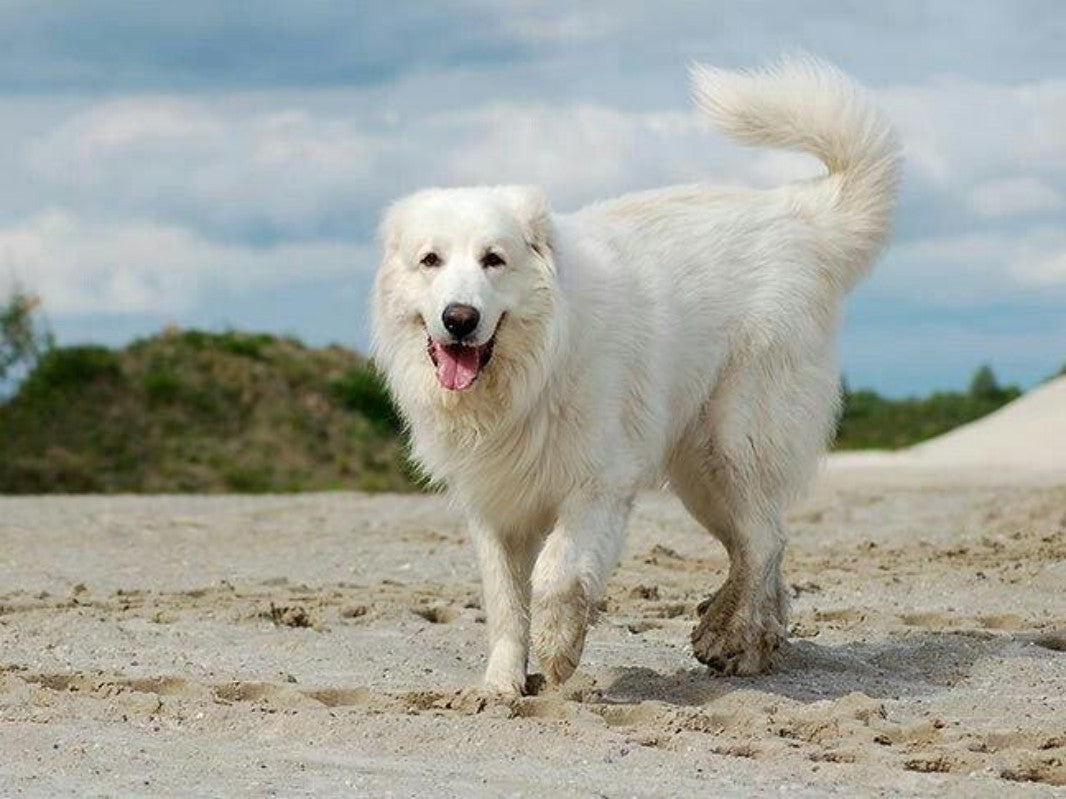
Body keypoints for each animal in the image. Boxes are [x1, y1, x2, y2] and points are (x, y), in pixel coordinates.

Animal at [370, 56, 895, 698]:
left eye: (494, 259)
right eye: (431, 260)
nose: (459, 319)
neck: (533, 374)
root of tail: (802, 215)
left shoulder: (597, 485)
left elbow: (554, 576)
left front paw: (559, 650)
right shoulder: (495, 505)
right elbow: (504, 602)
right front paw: (500, 686)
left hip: (736, 439)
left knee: (763, 539)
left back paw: (734, 637)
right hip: (699, 475)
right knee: (759, 544)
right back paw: (748, 638)